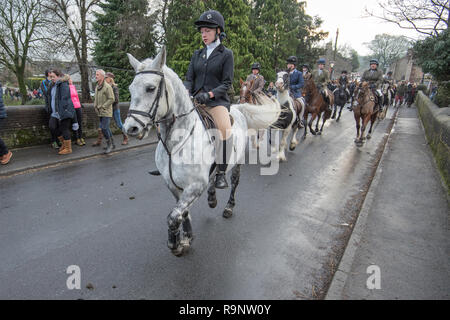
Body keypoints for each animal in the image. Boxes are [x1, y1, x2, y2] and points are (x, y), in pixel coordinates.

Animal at [121, 47, 280, 258]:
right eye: (131, 89)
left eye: (150, 88)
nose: (130, 128)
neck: (175, 143)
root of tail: (237, 107)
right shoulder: (174, 186)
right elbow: (183, 213)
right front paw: (187, 238)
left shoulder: (195, 185)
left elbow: (173, 216)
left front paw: (176, 244)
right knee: (215, 176)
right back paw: (212, 196)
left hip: (237, 162)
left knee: (234, 181)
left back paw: (228, 206)